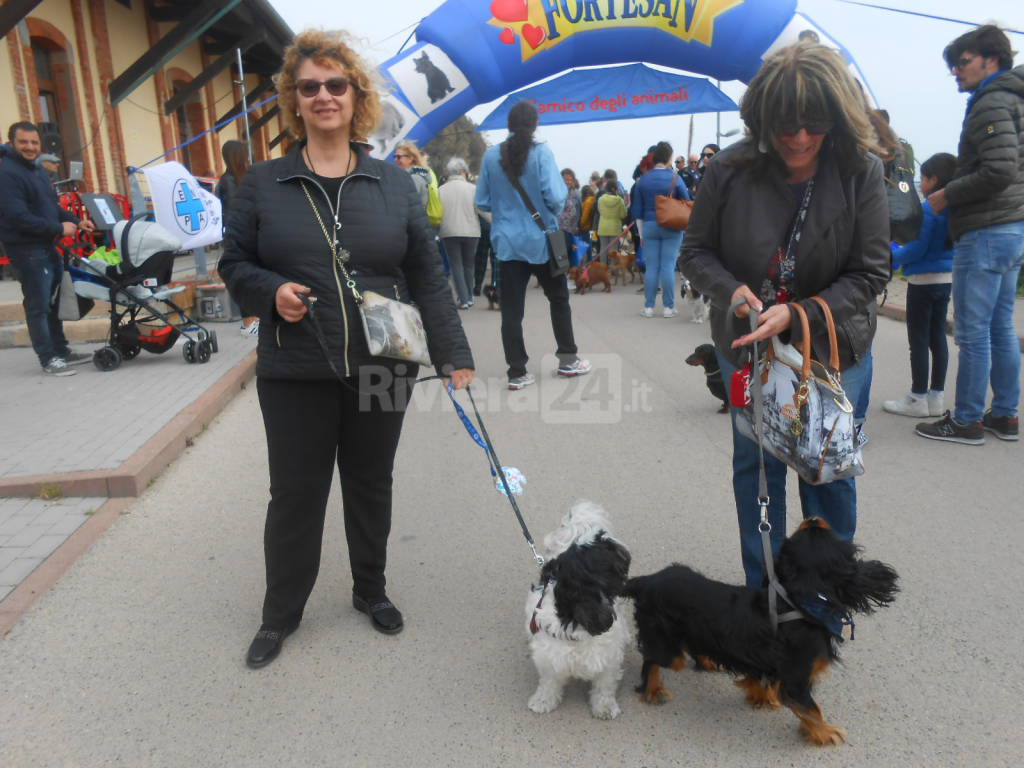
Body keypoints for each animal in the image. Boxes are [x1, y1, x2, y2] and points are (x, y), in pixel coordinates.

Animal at [528, 501, 630, 720]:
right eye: (607, 550)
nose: (624, 550)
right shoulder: (549, 656)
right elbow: (549, 682)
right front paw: (543, 700)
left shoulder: (608, 657)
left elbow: (604, 684)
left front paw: (604, 706)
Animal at [622, 520, 897, 749]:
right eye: (818, 531)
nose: (813, 518)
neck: (799, 602)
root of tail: (647, 580)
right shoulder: (795, 680)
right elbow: (812, 708)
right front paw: (826, 732)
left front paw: (764, 699)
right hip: (667, 648)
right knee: (652, 660)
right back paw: (653, 691)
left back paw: (708, 661)